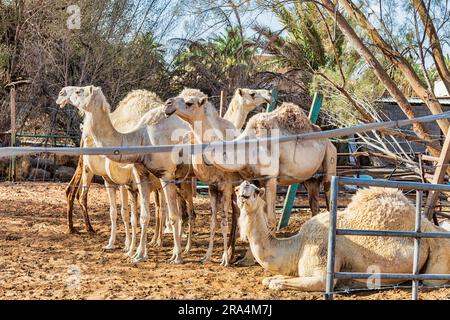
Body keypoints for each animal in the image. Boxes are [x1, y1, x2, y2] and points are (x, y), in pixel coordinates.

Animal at [60, 85, 193, 262]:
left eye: (79, 91)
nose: (61, 93)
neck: (141, 138)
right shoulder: (136, 178)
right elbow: (138, 216)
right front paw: (136, 253)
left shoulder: (164, 175)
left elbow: (168, 215)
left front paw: (175, 256)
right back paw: (160, 242)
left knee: (187, 212)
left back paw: (183, 248)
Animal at [234, 181, 450, 292]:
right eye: (237, 189)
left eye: (256, 191)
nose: (243, 195)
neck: (298, 245)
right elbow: (270, 280)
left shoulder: (322, 269)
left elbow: (277, 283)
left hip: (437, 261)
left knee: (432, 281)